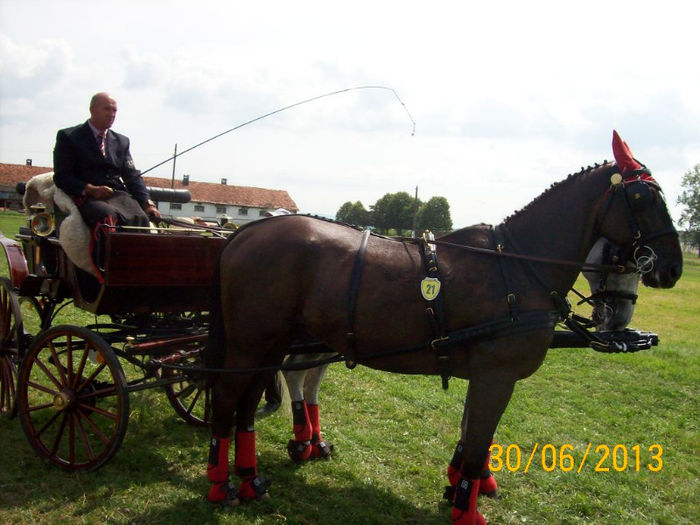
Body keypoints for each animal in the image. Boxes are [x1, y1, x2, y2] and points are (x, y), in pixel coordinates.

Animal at [204, 131, 684, 520]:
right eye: (643, 199)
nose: (672, 269)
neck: (515, 268)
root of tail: (243, 234)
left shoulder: (486, 375)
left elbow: (473, 437)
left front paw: (460, 491)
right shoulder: (496, 377)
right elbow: (476, 444)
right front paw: (467, 508)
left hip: (270, 344)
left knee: (252, 402)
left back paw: (251, 479)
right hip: (252, 344)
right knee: (229, 400)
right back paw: (221, 483)